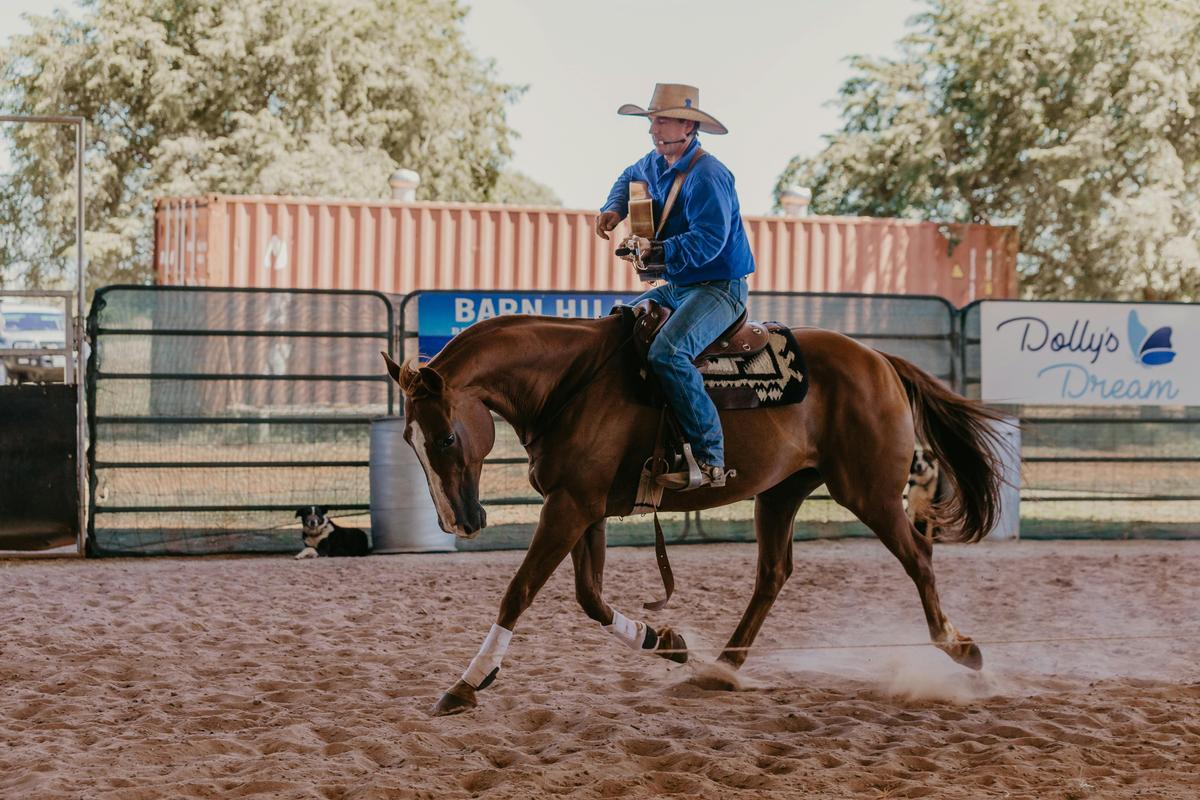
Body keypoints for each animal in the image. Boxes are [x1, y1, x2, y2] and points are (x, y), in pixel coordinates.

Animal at [381, 310, 1005, 716]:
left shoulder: (570, 506)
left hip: (868, 490)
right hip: (780, 493)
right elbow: (590, 598)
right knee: (773, 574)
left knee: (918, 556)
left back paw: (962, 649)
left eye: (444, 438)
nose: (460, 524)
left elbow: (520, 591)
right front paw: (666, 641)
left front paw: (468, 682)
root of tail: (880, 360)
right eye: (410, 441)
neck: (571, 380)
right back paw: (721, 668)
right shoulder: (585, 506)